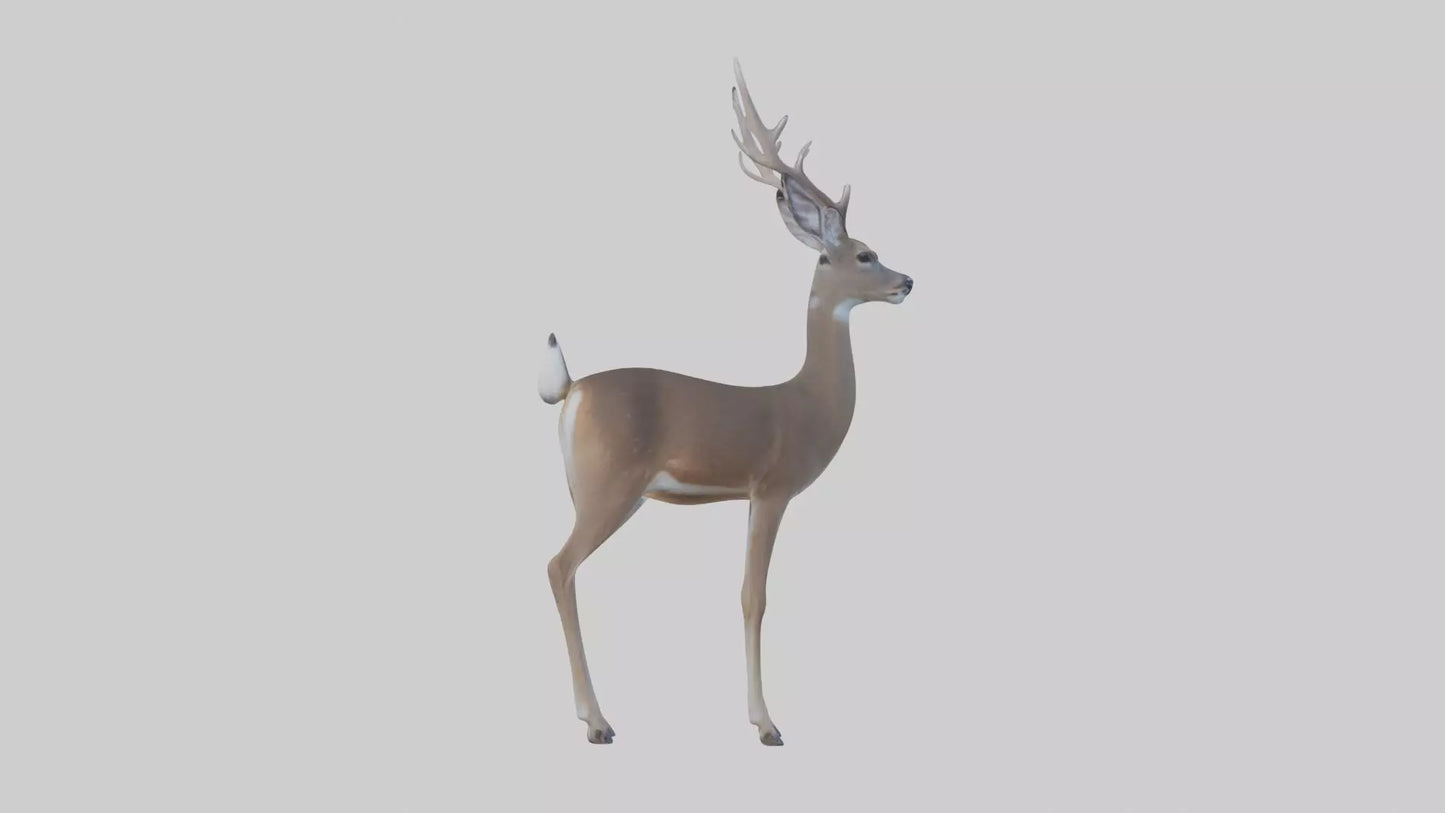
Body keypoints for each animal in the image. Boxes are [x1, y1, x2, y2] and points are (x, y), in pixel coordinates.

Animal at [537, 59, 913, 746]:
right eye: (864, 252)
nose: (908, 281)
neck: (806, 403)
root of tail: (571, 389)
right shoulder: (772, 486)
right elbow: (752, 595)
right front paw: (766, 724)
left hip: (592, 490)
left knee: (566, 569)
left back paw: (590, 713)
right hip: (611, 484)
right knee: (559, 564)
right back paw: (598, 722)